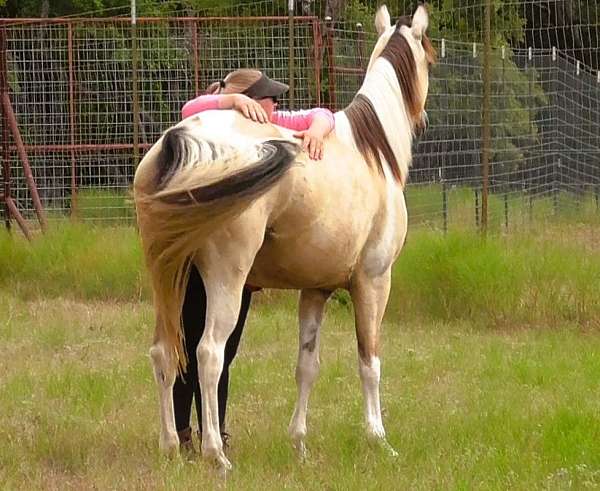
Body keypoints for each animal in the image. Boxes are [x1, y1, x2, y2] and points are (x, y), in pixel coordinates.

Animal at [135, 4, 436, 472]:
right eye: (429, 57)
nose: (422, 116)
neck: (372, 150)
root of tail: (179, 140)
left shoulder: (315, 291)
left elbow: (306, 365)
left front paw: (299, 443)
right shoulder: (373, 283)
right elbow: (369, 361)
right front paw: (378, 439)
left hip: (171, 280)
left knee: (165, 351)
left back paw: (171, 445)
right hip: (225, 282)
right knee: (208, 354)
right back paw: (216, 454)